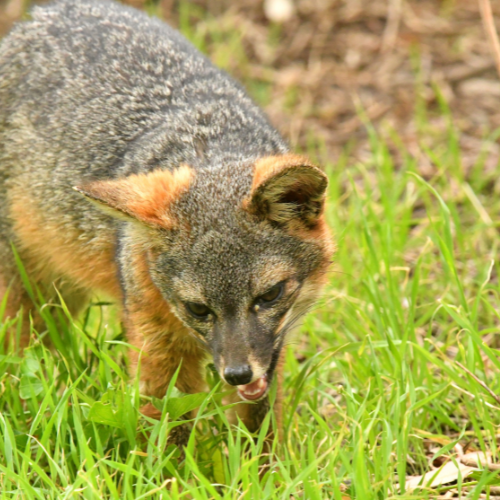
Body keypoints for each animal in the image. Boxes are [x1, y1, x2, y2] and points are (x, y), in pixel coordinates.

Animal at [0, 0, 336, 430]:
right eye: (198, 309)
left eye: (270, 295)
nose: (237, 374)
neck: (209, 144)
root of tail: (48, 12)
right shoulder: (155, 340)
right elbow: (167, 423)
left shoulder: (270, 353)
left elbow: (258, 424)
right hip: (31, 292)